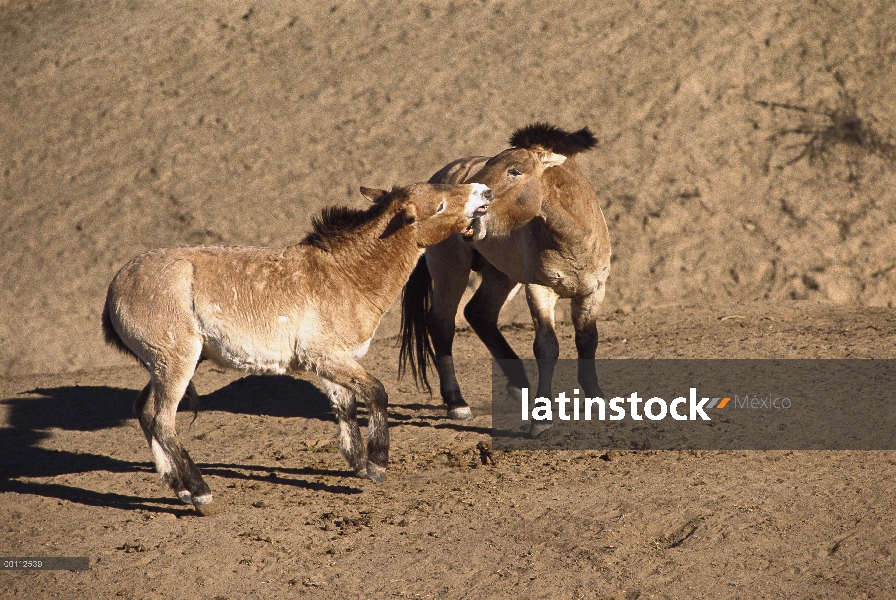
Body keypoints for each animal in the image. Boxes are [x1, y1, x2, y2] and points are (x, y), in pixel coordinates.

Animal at [103, 182, 490, 510]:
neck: (345, 275)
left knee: (143, 410)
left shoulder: (330, 361)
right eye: (439, 205)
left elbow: (345, 406)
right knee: (162, 420)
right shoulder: (326, 356)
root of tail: (115, 290)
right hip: (176, 362)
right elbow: (377, 392)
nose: (483, 191)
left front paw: (358, 462)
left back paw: (178, 487)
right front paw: (377, 463)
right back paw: (199, 492)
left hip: (170, 365)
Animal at [402, 123, 612, 432]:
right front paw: (541, 418)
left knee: (479, 313)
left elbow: (587, 341)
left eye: (515, 170)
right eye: (489, 163)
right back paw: (457, 402)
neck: (572, 238)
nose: (470, 198)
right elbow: (546, 347)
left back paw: (518, 385)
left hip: (500, 276)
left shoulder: (593, 292)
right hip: (451, 271)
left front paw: (597, 399)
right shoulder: (539, 289)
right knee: (442, 324)